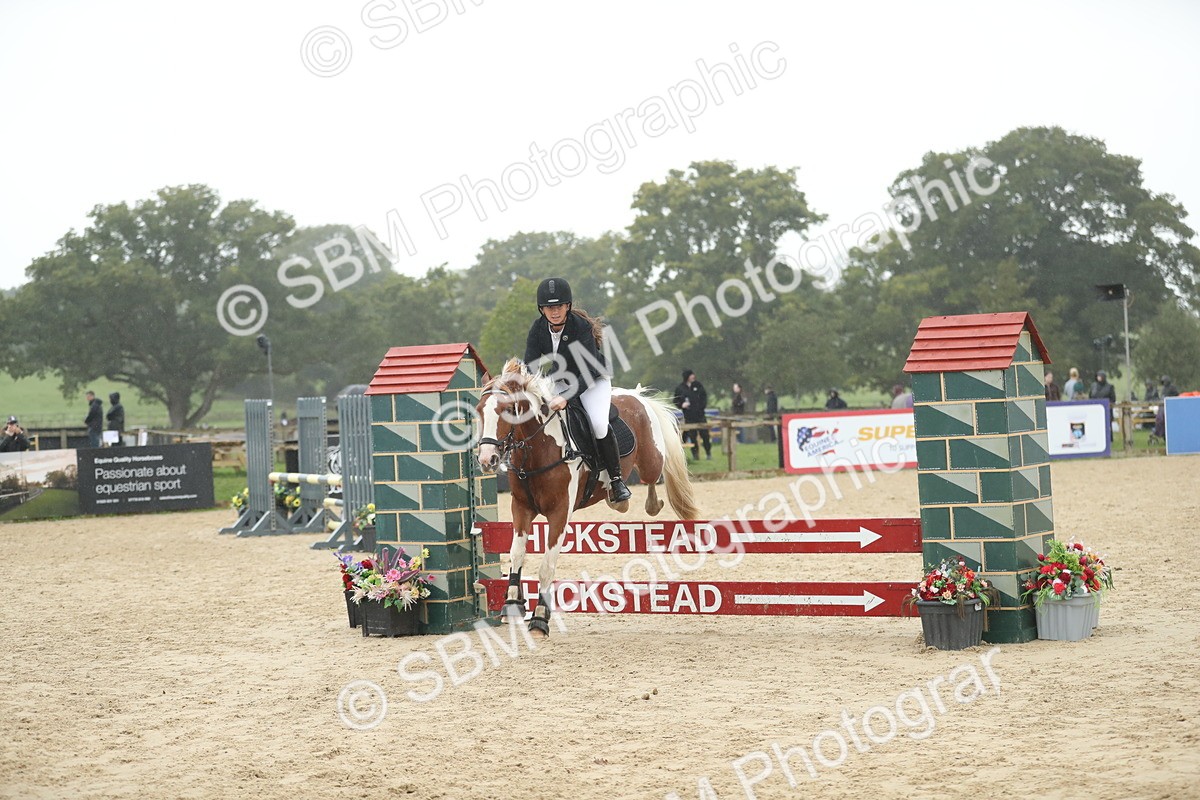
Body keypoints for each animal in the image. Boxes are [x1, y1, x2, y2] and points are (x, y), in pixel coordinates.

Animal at [475, 359, 699, 637]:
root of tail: (636, 396)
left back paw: (643, 500)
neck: (540, 448)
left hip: (651, 461)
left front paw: (539, 618)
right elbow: (517, 554)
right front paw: (512, 606)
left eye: (507, 410)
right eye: (479, 410)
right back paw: (619, 498)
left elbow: (547, 566)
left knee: (654, 476)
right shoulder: (521, 507)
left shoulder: (559, 513)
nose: (487, 460)